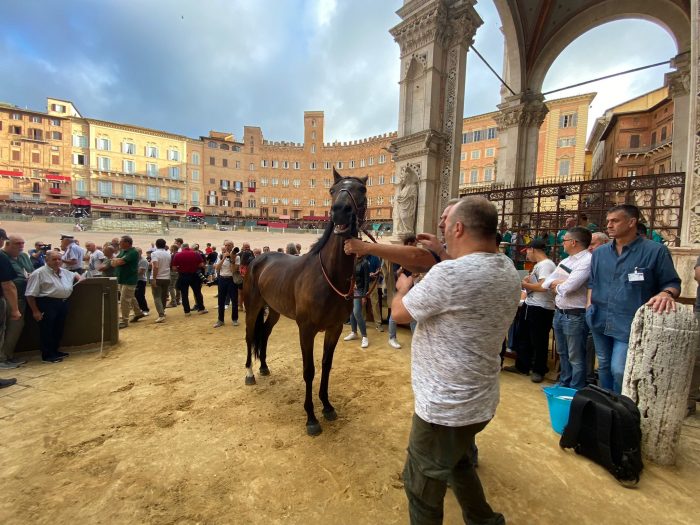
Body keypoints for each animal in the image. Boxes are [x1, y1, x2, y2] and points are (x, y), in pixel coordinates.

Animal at [243, 170, 367, 436]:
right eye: (333, 189)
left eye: (362, 190)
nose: (340, 210)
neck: (327, 275)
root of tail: (258, 259)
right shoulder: (306, 330)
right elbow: (309, 370)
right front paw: (311, 417)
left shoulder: (334, 329)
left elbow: (326, 365)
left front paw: (327, 406)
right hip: (253, 307)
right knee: (249, 337)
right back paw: (249, 373)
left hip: (275, 311)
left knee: (264, 334)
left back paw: (264, 367)